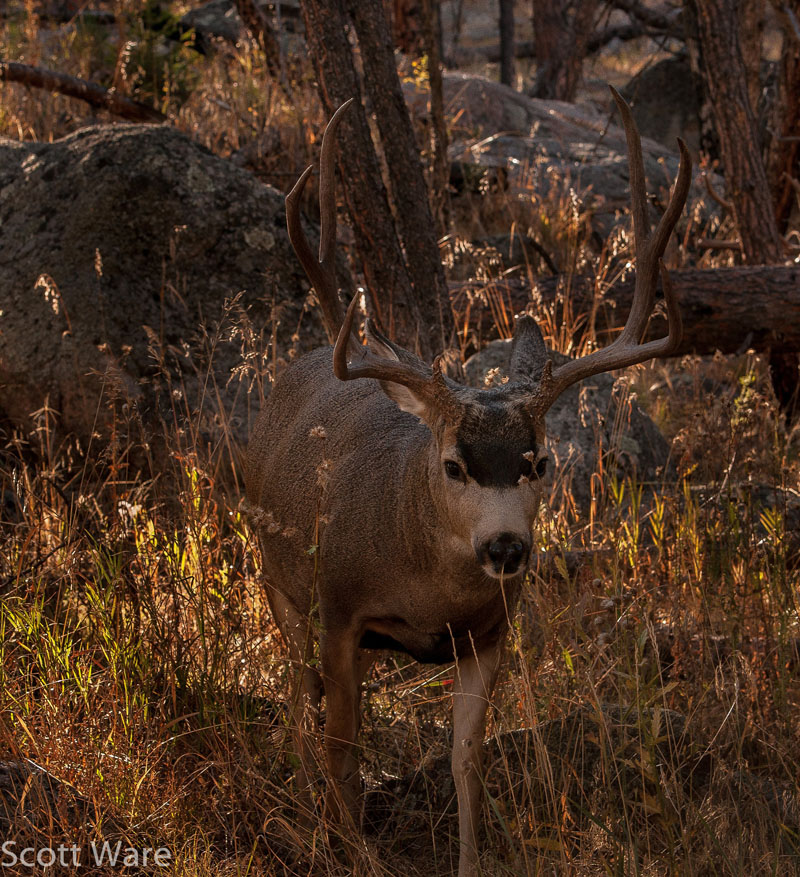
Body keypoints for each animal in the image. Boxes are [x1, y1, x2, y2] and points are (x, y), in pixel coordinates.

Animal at [245, 89, 690, 876]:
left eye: (539, 462)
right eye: (453, 463)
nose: (506, 546)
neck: (426, 589)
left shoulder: (489, 633)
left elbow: (466, 761)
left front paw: (471, 859)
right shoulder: (339, 608)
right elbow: (343, 751)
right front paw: (355, 853)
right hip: (278, 580)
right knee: (300, 703)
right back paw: (302, 809)